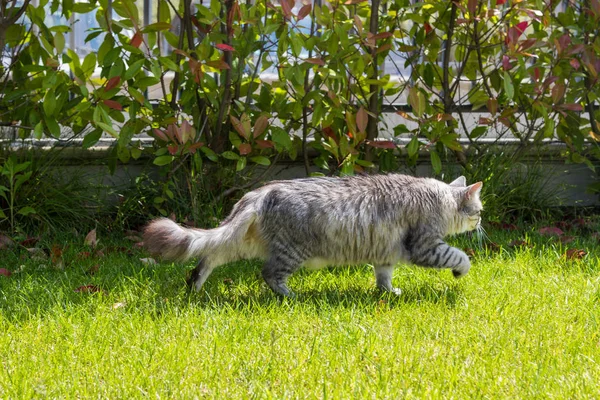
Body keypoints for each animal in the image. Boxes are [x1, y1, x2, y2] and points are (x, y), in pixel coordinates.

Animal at [144, 173, 482, 296]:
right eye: (478, 211)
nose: (480, 223)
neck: (439, 197)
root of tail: (261, 193)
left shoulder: (385, 253)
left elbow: (383, 277)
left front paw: (388, 292)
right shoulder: (425, 245)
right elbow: (458, 256)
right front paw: (460, 271)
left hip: (242, 242)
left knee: (209, 254)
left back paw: (194, 285)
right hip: (289, 251)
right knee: (269, 274)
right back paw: (290, 296)